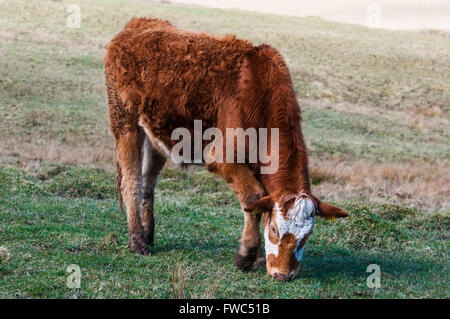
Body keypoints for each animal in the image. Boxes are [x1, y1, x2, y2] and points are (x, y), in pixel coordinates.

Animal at [103, 18, 350, 282]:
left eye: (307, 236)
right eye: (275, 229)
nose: (283, 274)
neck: (259, 95)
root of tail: (136, 24)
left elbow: (259, 202)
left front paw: (258, 256)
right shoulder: (220, 157)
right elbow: (253, 197)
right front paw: (247, 254)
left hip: (155, 133)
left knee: (148, 182)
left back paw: (148, 235)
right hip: (124, 120)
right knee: (131, 181)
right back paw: (137, 241)